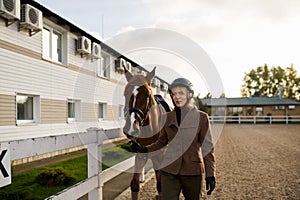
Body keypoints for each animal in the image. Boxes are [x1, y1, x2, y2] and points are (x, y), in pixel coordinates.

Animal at [121, 66, 169, 199]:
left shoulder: (160, 156)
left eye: (147, 95)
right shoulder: (141, 154)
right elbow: (134, 184)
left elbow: (160, 185)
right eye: (125, 93)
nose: (131, 128)